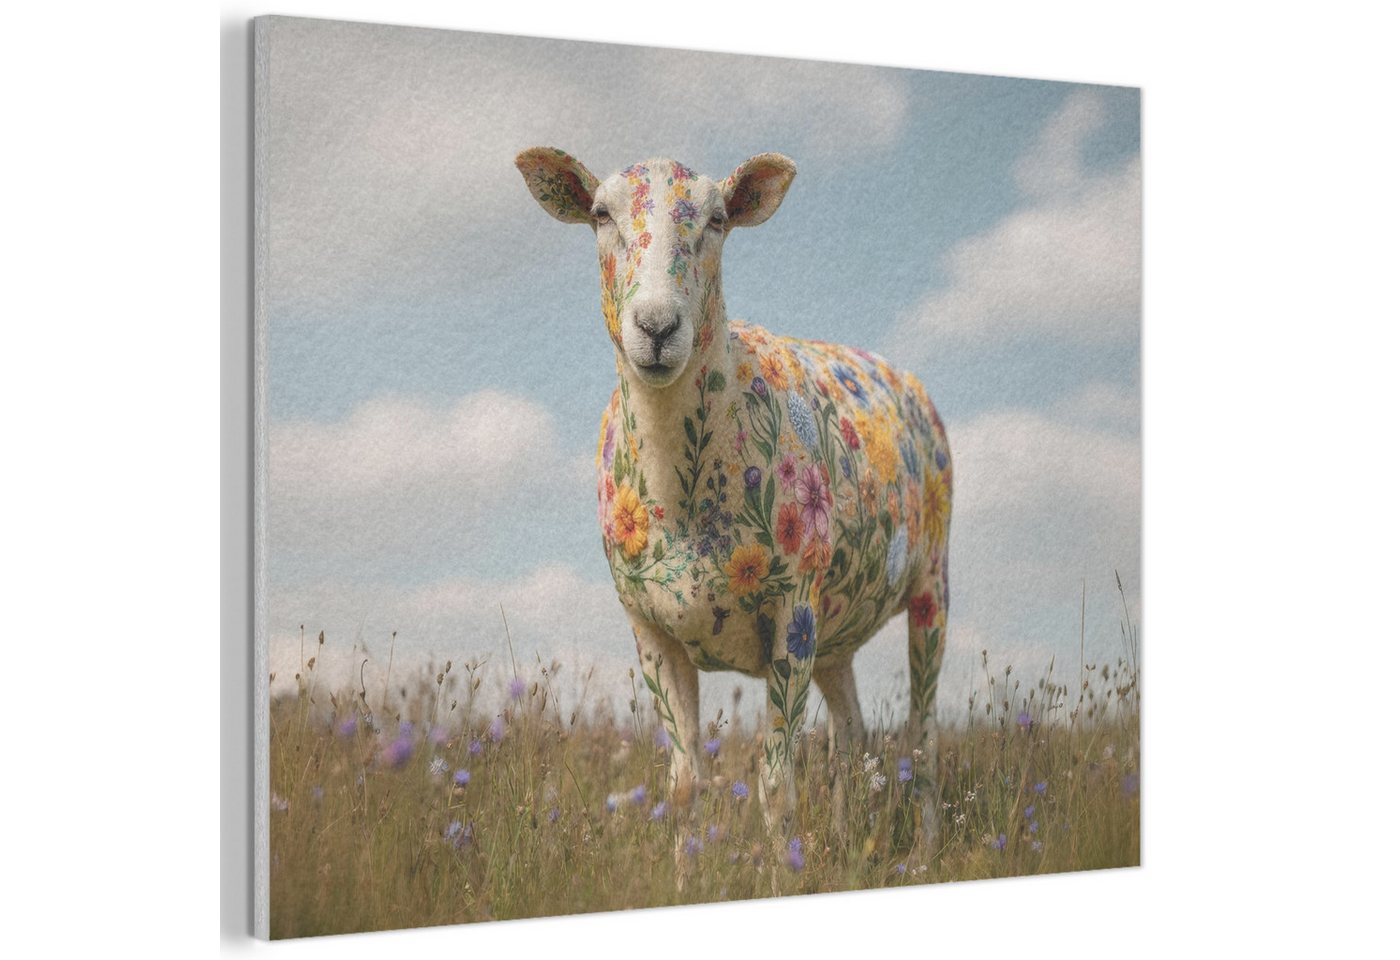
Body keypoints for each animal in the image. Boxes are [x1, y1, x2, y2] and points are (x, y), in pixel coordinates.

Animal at [515, 149, 952, 840]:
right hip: (834, 627)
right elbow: (684, 783)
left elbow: (775, 786)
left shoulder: (793, 609)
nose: (657, 327)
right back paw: (842, 837)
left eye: (718, 219)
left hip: (929, 581)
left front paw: (783, 860)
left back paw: (928, 844)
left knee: (923, 735)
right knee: (851, 736)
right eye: (600, 214)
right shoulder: (651, 629)